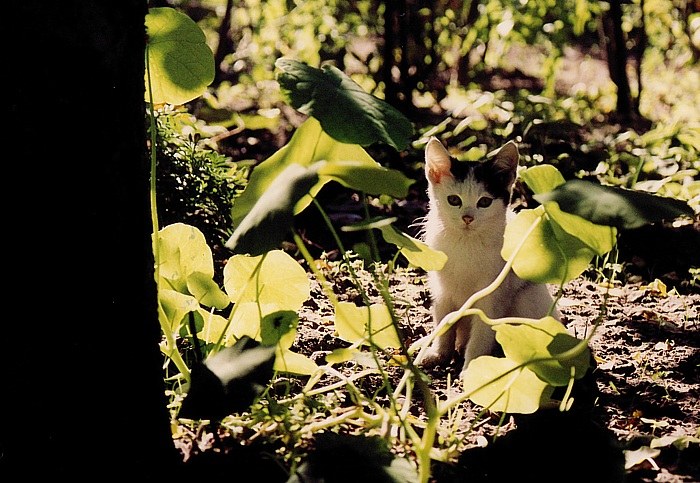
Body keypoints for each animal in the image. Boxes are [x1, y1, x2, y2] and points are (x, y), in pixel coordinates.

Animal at [418, 138, 560, 376]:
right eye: (453, 200)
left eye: (484, 202)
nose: (467, 217)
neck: (466, 245)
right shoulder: (442, 291)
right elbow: (444, 322)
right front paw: (439, 354)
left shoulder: (491, 297)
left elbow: (481, 334)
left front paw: (472, 369)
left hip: (528, 298)